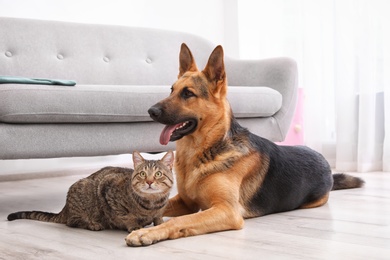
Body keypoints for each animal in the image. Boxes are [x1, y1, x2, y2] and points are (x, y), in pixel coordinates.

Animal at [6, 150, 174, 232]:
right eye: (143, 174)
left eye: (158, 174)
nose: (149, 182)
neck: (152, 204)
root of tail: (65, 209)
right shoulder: (107, 188)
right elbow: (126, 216)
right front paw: (133, 226)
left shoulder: (159, 210)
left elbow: (158, 217)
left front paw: (160, 223)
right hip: (82, 191)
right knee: (72, 222)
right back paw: (93, 224)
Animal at [125, 44, 366, 246]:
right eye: (171, 90)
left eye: (187, 93)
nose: (150, 111)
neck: (204, 150)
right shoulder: (186, 202)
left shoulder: (226, 211)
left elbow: (178, 221)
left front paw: (146, 232)